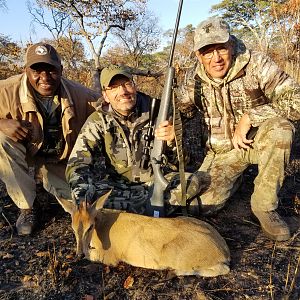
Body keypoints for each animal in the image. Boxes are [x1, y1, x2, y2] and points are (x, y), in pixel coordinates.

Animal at [56, 192, 230, 276]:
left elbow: (92, 256)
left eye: (90, 226)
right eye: (72, 227)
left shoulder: (110, 257)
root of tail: (224, 250)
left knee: (224, 269)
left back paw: (177, 272)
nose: (78, 253)